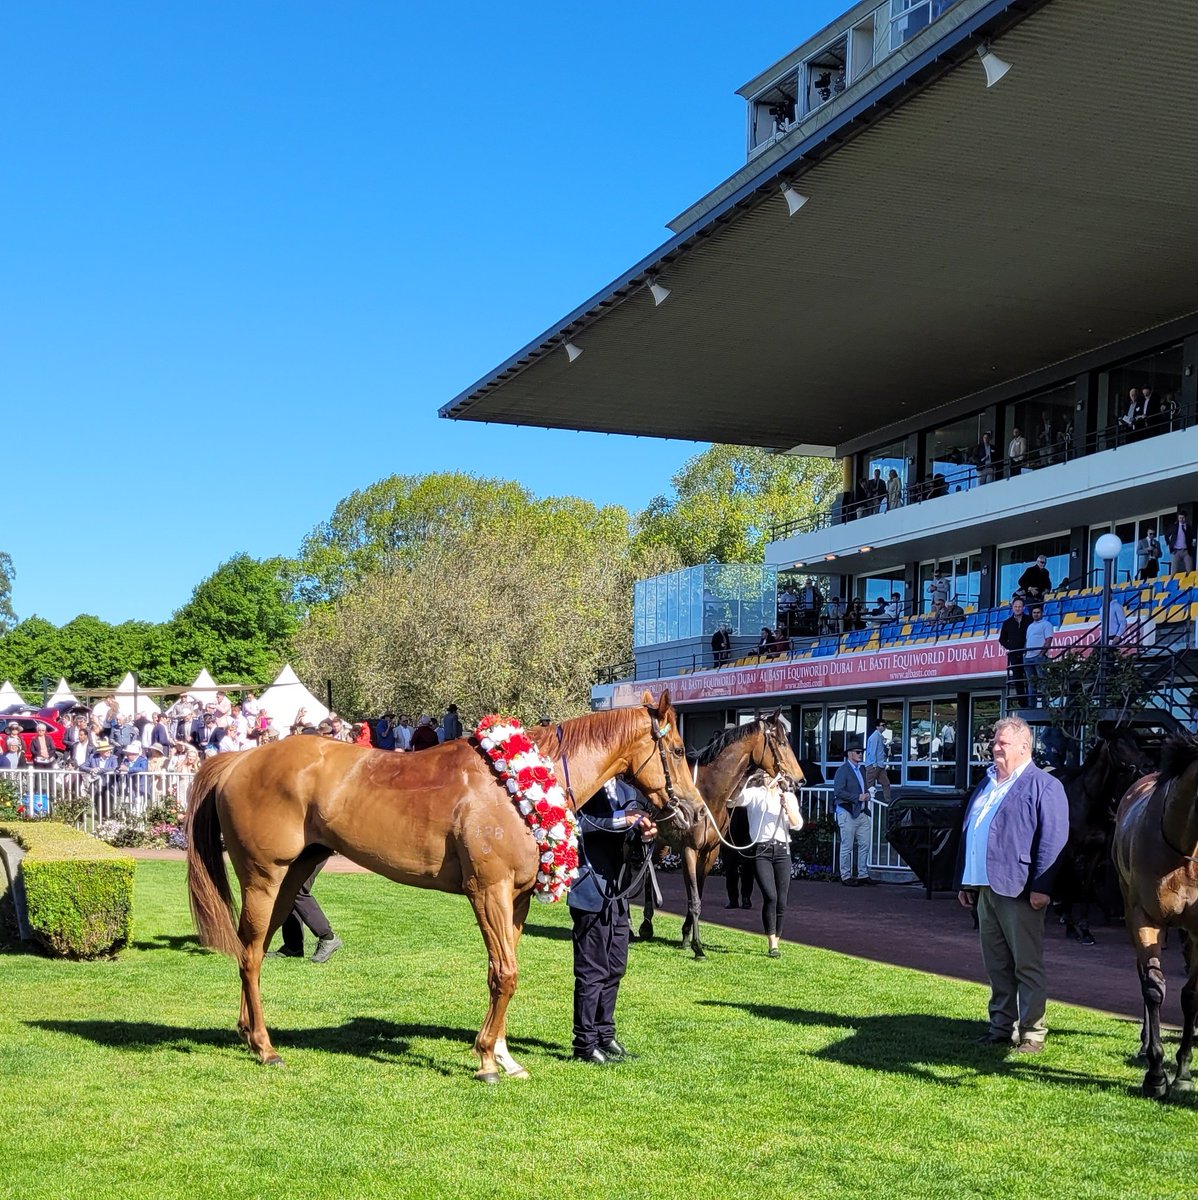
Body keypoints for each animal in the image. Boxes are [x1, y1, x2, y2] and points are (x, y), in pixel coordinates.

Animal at [184, 691, 703, 1082]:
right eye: (678, 751)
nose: (696, 814)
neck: (515, 788)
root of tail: (240, 760)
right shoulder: (487, 891)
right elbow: (504, 974)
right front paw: (486, 1060)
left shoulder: (516, 899)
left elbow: (505, 972)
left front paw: (504, 1056)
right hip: (264, 876)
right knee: (251, 956)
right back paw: (266, 1047)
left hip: (291, 877)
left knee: (253, 950)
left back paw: (248, 1034)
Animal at [636, 712, 805, 959]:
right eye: (781, 742)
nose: (798, 780)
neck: (707, 793)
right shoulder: (689, 849)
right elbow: (694, 898)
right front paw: (697, 946)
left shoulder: (710, 852)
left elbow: (697, 893)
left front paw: (686, 937)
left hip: (660, 844)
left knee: (647, 876)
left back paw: (646, 924)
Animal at [1053, 731, 1156, 944]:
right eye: (1118, 745)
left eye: (1134, 741)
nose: (1148, 765)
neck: (1087, 801)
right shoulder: (1070, 850)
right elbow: (1070, 882)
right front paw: (1071, 927)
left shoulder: (1095, 850)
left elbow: (1085, 886)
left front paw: (1085, 930)